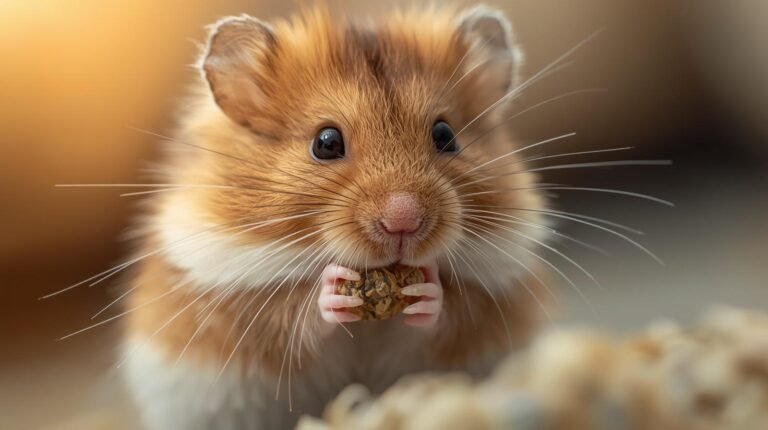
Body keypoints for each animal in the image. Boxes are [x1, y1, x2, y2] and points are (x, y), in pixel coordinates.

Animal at [121, 5, 549, 430]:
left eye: (446, 135)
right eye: (326, 142)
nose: (404, 222)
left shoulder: (485, 303)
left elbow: (447, 315)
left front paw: (425, 288)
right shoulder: (234, 298)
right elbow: (295, 315)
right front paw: (332, 285)